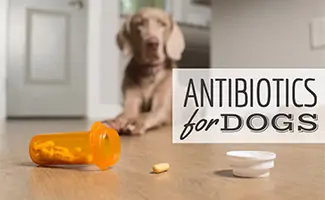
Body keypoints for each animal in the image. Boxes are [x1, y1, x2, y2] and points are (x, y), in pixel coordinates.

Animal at [104, 7, 185, 136]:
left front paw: (134, 123)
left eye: (162, 24)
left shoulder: (161, 106)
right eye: (140, 24)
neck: (149, 71)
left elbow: (147, 114)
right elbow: (127, 113)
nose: (152, 43)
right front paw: (116, 121)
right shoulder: (131, 100)